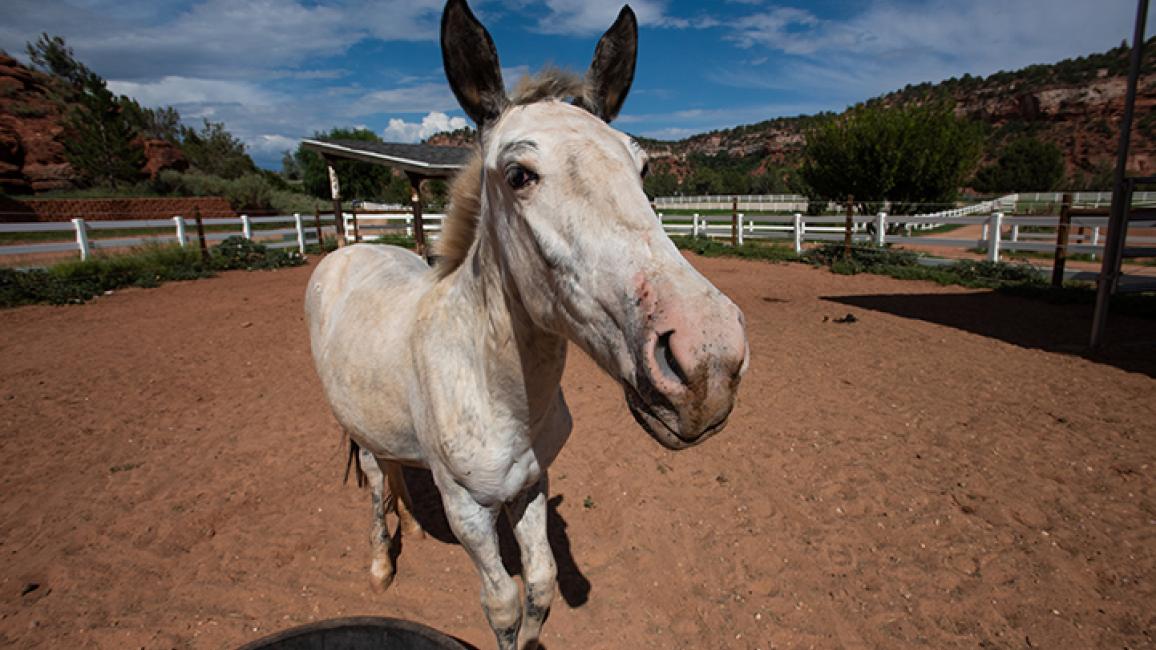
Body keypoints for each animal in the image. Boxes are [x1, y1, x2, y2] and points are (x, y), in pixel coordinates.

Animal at [305, 1, 749, 647]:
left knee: (394, 469)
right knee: (374, 480)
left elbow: (540, 584)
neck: (494, 386)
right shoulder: (468, 511)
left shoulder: (532, 485)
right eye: (518, 175)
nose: (709, 357)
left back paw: (407, 522)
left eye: (642, 168)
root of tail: (348, 252)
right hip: (356, 432)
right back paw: (382, 563)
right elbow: (503, 602)